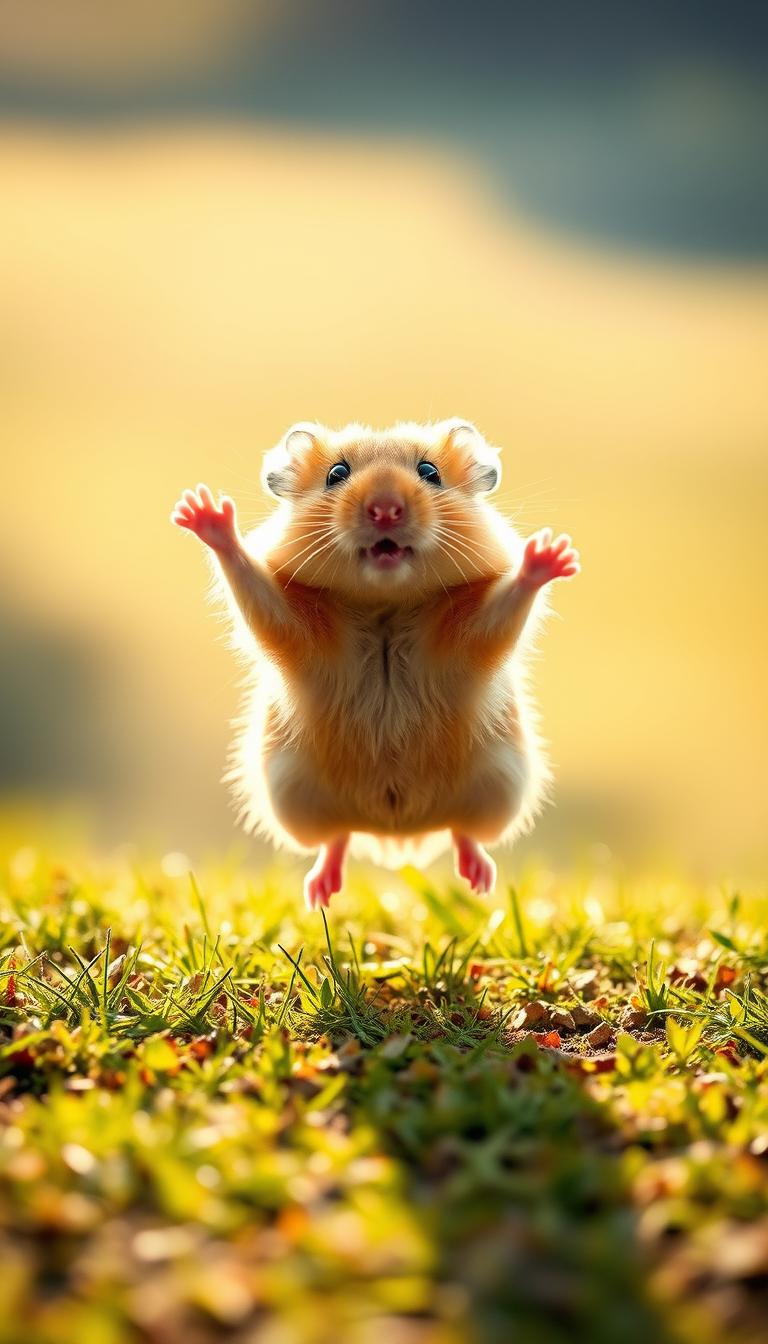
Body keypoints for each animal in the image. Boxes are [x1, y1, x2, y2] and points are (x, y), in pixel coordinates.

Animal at [171, 420, 579, 909]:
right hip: (292, 796)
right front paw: (202, 512)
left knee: (463, 832)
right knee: (337, 839)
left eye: (430, 472)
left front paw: (552, 554)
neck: (385, 602)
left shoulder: (467, 634)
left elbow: (505, 608)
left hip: (500, 786)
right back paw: (321, 894)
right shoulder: (297, 625)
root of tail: (395, 835)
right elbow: (254, 587)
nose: (385, 510)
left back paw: (478, 881)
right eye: (336, 474)